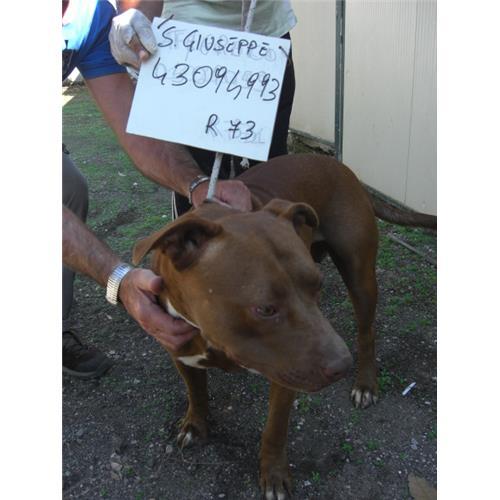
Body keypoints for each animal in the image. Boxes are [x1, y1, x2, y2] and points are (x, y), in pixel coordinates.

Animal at [132, 153, 436, 499]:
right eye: (265, 308)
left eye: (317, 286)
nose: (342, 366)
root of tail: (342, 167)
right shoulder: (179, 349)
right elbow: (195, 392)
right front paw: (195, 425)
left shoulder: (287, 372)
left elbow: (275, 428)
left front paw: (274, 473)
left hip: (360, 276)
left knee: (366, 331)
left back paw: (365, 383)